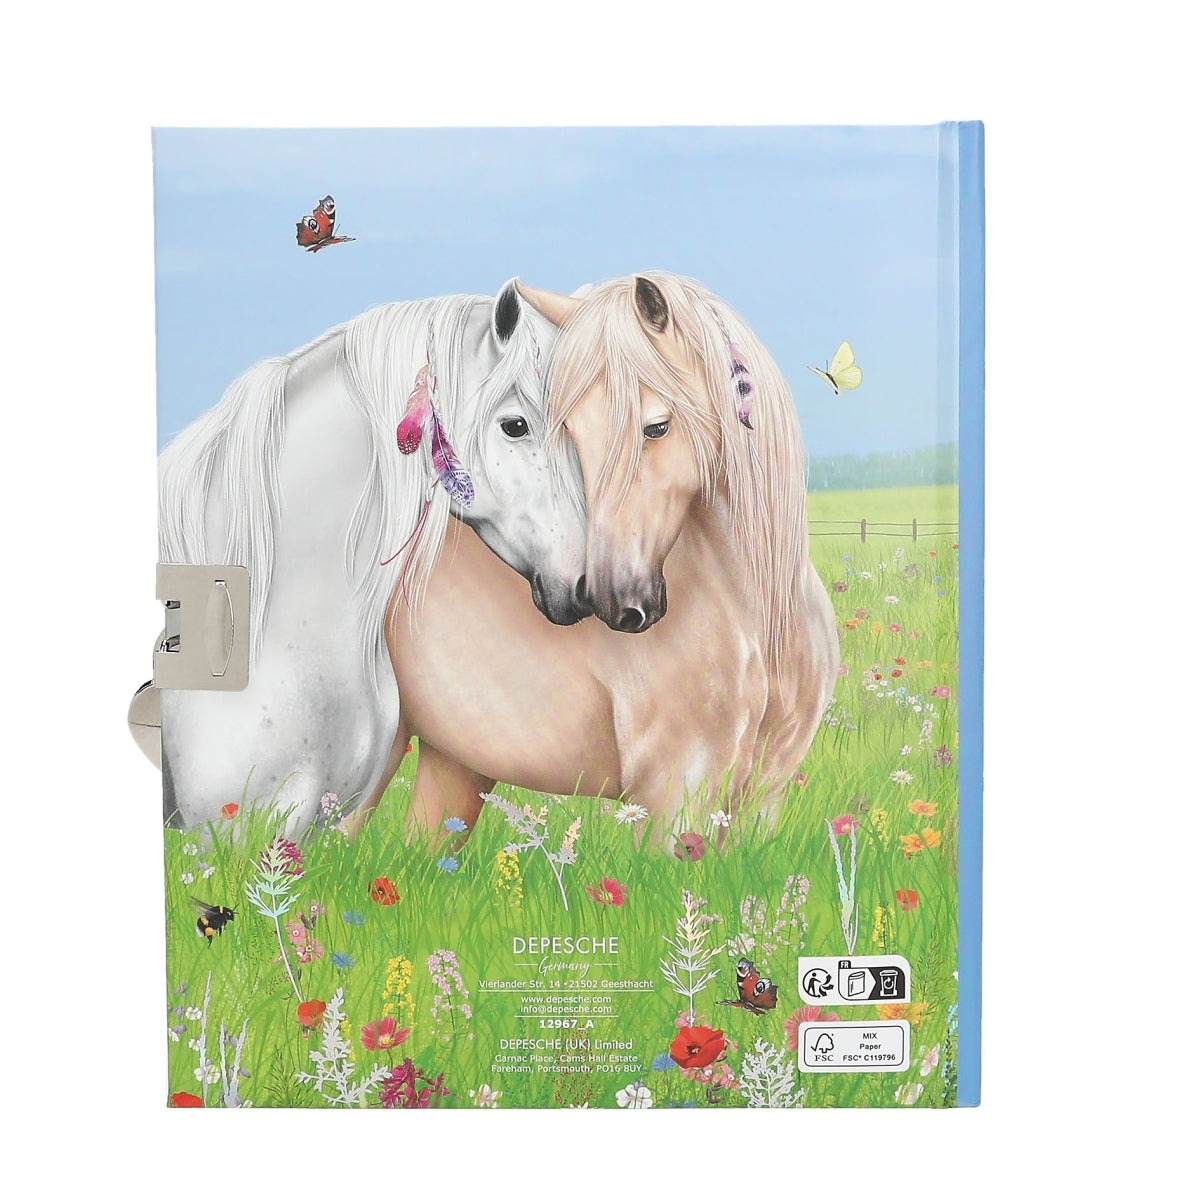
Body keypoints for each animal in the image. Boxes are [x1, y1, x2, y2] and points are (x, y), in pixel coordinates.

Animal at [362, 272, 839, 837]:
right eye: (573, 432)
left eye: (657, 427)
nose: (614, 602)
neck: (758, 622)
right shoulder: (672, 799)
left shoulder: (763, 801)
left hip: (453, 764)